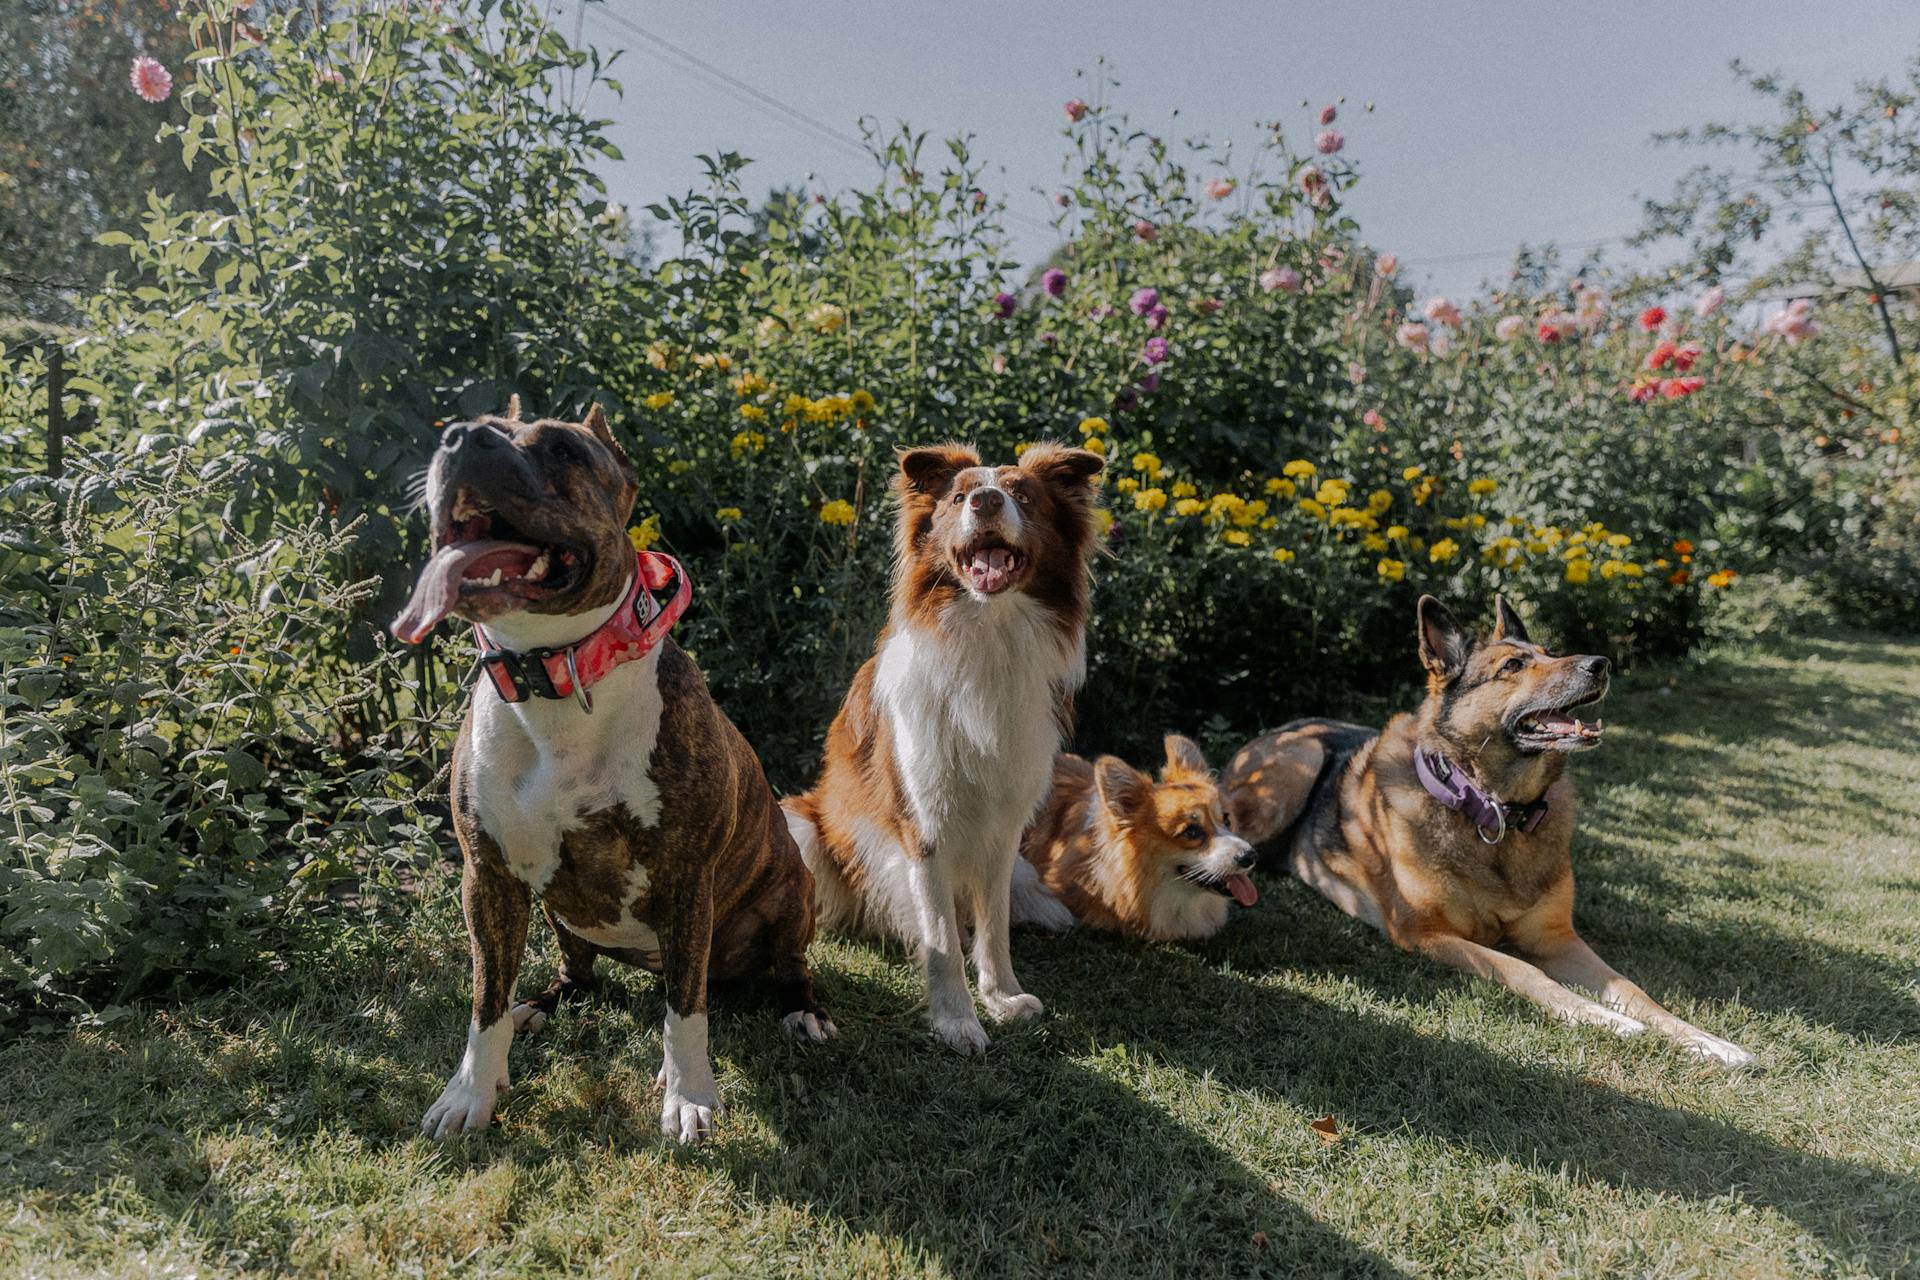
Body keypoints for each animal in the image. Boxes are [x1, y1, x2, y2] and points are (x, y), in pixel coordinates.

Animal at [393, 397, 829, 1143]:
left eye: (563, 450)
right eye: (468, 424)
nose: (461, 438)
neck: (555, 679)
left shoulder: (687, 879)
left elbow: (685, 1010)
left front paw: (689, 1095)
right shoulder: (487, 876)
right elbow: (483, 998)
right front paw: (470, 1090)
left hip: (791, 892)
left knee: (782, 965)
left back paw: (804, 1009)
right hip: (559, 916)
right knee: (578, 973)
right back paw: (538, 1004)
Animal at [787, 445, 1105, 1059]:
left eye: (1023, 495)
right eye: (958, 497)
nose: (986, 501)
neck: (987, 636)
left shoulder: (1004, 825)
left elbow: (994, 924)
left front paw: (1003, 996)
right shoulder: (924, 823)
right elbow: (940, 940)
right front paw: (957, 1020)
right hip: (801, 828)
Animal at [1228, 594, 1758, 1066]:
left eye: (1550, 652)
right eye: (1512, 666)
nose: (1601, 663)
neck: (1496, 811)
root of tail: (1288, 723)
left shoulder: (1557, 937)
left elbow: (1631, 987)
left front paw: (1705, 1040)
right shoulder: (1425, 934)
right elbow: (1520, 968)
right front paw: (1600, 1017)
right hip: (1298, 761)